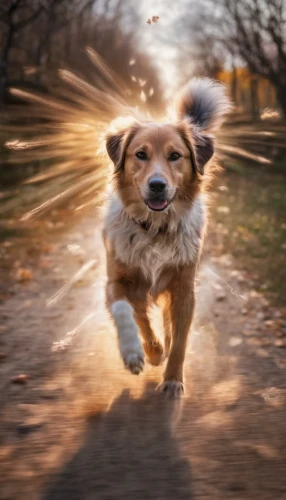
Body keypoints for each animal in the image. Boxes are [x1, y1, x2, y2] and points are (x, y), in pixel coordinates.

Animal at [103, 79, 230, 394]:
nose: (157, 185)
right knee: (141, 316)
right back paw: (152, 350)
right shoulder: (116, 280)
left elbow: (181, 339)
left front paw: (173, 378)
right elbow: (127, 313)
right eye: (140, 154)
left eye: (175, 156)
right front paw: (136, 353)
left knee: (167, 323)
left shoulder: (183, 288)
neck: (154, 228)